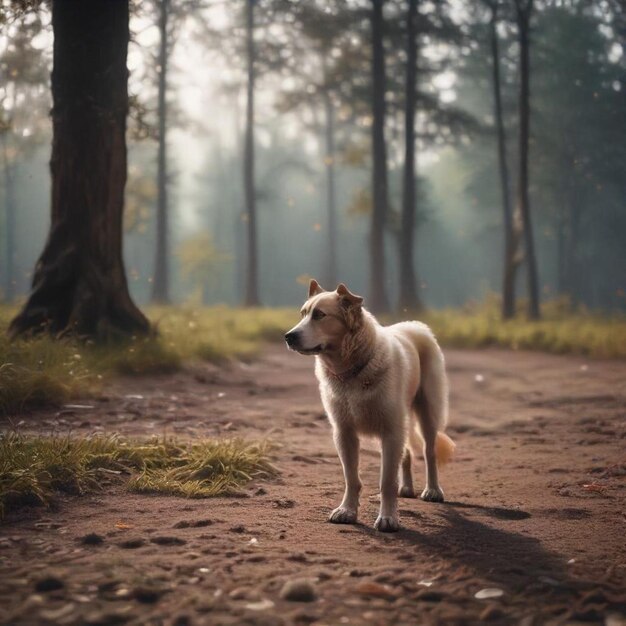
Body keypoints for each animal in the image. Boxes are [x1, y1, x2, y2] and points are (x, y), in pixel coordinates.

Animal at [284, 280, 454, 528]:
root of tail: (415, 325)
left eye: (320, 315)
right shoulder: (344, 432)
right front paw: (347, 511)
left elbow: (386, 481)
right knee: (406, 453)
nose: (288, 336)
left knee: (429, 451)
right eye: (303, 314)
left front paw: (388, 518)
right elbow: (351, 478)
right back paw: (407, 487)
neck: (354, 371)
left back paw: (433, 490)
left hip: (428, 411)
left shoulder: (390, 431)